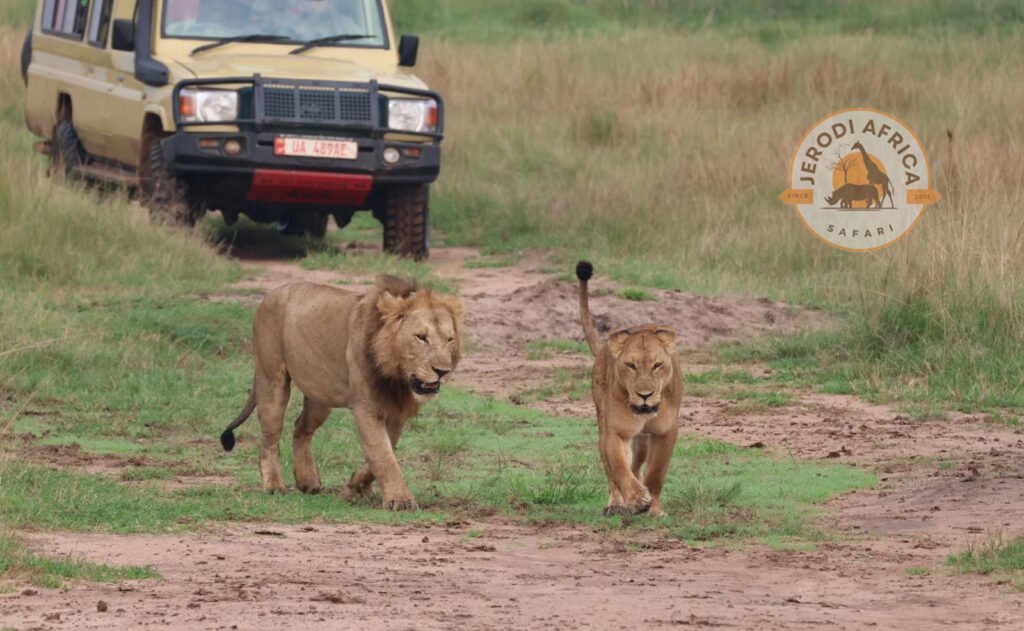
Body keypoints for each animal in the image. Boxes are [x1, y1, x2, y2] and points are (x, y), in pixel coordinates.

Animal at [219, 277, 463, 511]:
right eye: (421, 337)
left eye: (449, 339)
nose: (443, 371)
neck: (397, 377)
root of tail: (269, 295)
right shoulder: (366, 408)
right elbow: (383, 455)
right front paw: (400, 499)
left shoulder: (395, 412)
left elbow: (386, 450)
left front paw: (355, 487)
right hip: (272, 380)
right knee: (270, 438)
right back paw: (274, 485)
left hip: (319, 397)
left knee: (300, 428)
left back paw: (307, 481)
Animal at [576, 261, 682, 517]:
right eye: (630, 365)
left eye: (657, 365)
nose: (645, 395)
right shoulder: (617, 431)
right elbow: (619, 468)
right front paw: (636, 499)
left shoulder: (666, 431)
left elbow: (656, 474)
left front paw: (653, 509)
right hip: (603, 423)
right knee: (611, 469)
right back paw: (616, 505)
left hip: (642, 440)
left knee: (637, 463)